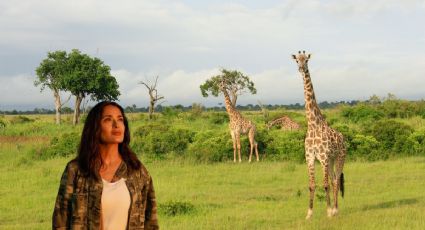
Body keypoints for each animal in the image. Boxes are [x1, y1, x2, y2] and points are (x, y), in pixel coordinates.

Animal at [292, 50, 344, 219]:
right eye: (297, 60)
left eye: (307, 60)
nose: (301, 68)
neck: (313, 124)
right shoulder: (309, 157)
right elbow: (312, 185)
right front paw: (309, 214)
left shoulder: (323, 157)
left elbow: (325, 184)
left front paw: (328, 211)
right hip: (332, 159)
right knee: (334, 179)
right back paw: (334, 209)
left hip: (340, 157)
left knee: (336, 180)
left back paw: (335, 210)